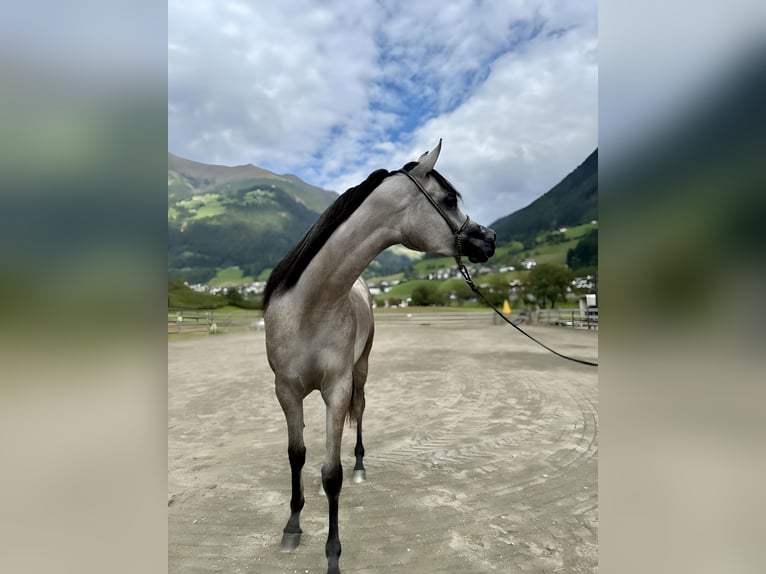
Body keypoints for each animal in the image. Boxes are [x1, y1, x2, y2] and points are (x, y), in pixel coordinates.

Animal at [262, 141, 498, 574]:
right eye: (449, 199)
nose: (489, 238)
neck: (310, 308)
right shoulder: (285, 391)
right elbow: (296, 456)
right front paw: (292, 527)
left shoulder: (337, 389)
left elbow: (332, 474)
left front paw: (333, 557)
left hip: (361, 369)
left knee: (360, 415)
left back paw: (359, 466)